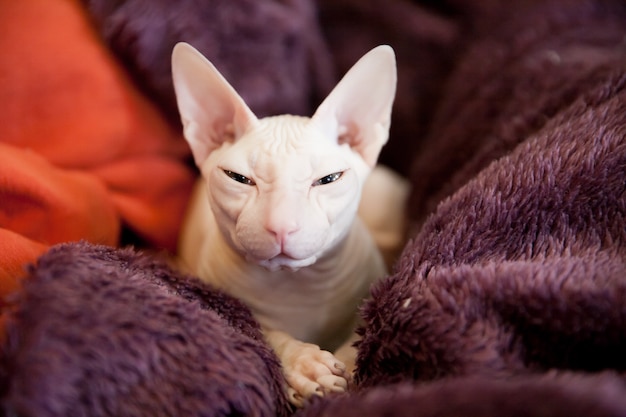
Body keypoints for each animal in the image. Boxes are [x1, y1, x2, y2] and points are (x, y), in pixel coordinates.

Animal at [172, 43, 404, 406]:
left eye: (328, 179)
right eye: (238, 178)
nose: (281, 226)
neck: (296, 285)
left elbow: (360, 339)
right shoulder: (221, 298)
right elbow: (264, 332)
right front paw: (304, 365)